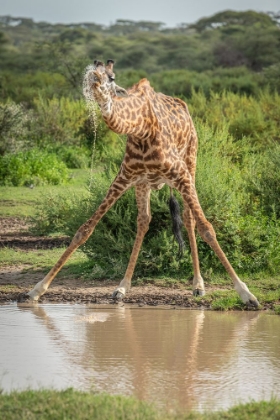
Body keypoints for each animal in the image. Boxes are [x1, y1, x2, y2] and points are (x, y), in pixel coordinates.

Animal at [26, 59, 258, 306]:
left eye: (111, 77)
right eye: (93, 71)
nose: (94, 79)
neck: (141, 128)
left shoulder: (181, 174)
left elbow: (207, 228)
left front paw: (246, 294)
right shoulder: (124, 177)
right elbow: (85, 229)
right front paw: (37, 289)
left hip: (191, 163)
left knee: (188, 218)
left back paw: (198, 285)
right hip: (144, 183)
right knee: (144, 220)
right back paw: (122, 287)